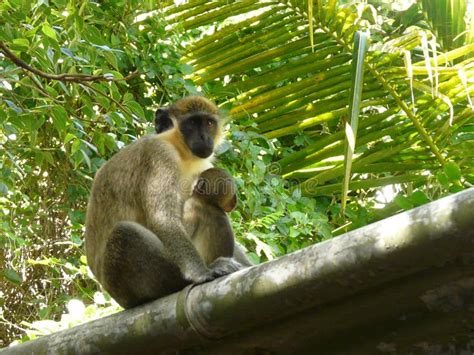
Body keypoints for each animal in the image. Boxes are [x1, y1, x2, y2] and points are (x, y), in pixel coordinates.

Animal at [84, 95, 237, 308]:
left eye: (208, 123)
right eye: (192, 123)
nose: (204, 138)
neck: (179, 149)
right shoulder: (159, 154)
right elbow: (163, 218)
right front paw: (201, 273)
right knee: (125, 232)